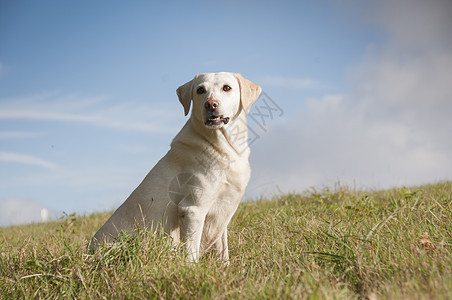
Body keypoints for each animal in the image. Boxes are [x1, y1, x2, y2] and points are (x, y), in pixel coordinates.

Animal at [90, 72, 262, 262]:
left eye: (227, 87)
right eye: (200, 90)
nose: (210, 104)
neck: (225, 146)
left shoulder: (223, 212)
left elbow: (223, 251)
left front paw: (225, 267)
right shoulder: (193, 209)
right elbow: (191, 252)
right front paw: (192, 268)